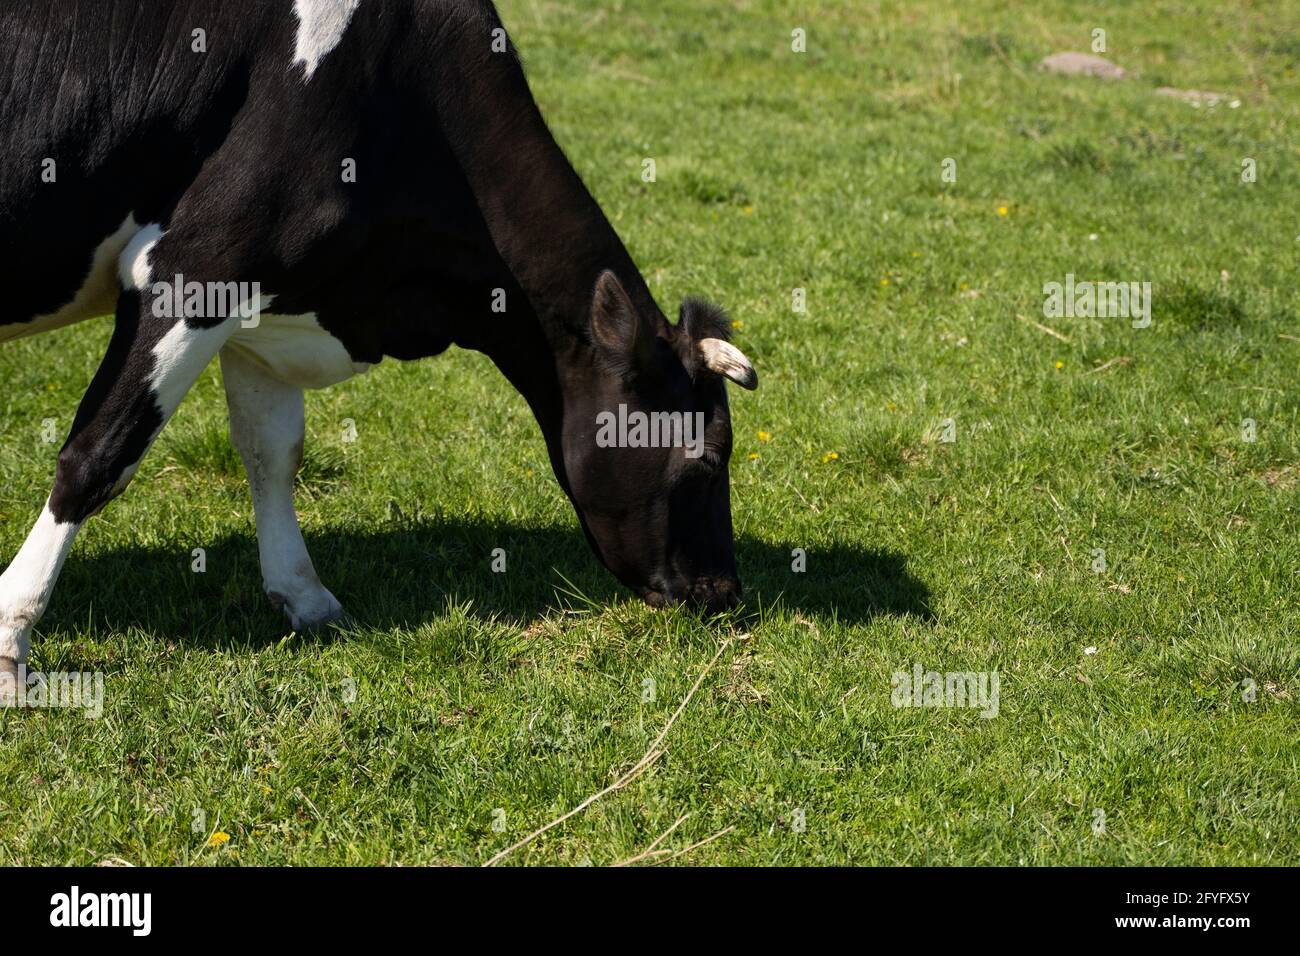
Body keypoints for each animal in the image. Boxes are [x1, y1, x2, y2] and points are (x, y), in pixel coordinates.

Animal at [0, 0, 758, 698]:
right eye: (704, 458)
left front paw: (307, 598)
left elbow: (273, 454)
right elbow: (98, 456)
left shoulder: (263, 297)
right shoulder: (194, 266)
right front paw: (12, 640)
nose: (724, 590)